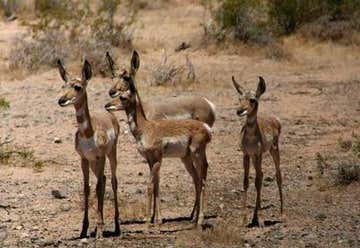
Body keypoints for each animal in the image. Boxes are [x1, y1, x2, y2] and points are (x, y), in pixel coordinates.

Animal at [57, 58, 120, 238]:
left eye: (78, 86)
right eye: (63, 86)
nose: (61, 100)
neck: (88, 133)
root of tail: (109, 115)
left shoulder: (101, 157)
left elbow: (98, 188)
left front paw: (99, 230)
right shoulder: (84, 159)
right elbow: (87, 189)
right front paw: (84, 230)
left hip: (111, 155)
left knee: (112, 181)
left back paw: (116, 227)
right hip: (94, 163)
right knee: (103, 179)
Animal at [104, 51, 211, 226]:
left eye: (124, 96)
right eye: (113, 76)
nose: (108, 103)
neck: (145, 127)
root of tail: (205, 127)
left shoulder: (157, 159)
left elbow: (150, 186)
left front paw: (152, 220)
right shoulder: (149, 160)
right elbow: (155, 186)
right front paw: (155, 218)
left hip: (197, 155)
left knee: (202, 179)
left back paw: (200, 219)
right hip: (186, 158)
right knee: (196, 179)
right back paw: (193, 218)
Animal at [232, 76, 282, 229]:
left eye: (252, 99)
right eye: (240, 98)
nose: (239, 111)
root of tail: (275, 119)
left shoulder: (259, 154)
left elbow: (258, 182)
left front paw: (260, 219)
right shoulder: (246, 155)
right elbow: (246, 182)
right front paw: (243, 219)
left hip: (273, 150)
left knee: (277, 175)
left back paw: (283, 214)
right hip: (255, 157)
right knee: (261, 174)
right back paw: (255, 217)